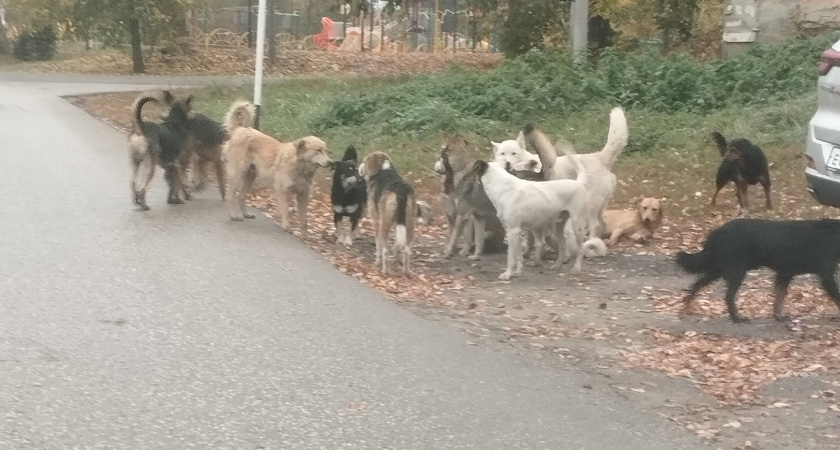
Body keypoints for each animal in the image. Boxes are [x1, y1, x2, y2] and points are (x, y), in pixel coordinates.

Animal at [223, 100, 334, 237]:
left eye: (326, 151)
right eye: (318, 150)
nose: (331, 162)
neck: (300, 167)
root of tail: (240, 129)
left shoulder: (303, 195)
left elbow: (304, 220)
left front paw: (305, 235)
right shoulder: (282, 191)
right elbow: (285, 210)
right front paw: (286, 226)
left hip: (251, 176)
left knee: (241, 196)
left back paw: (245, 213)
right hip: (238, 174)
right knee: (230, 196)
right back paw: (233, 215)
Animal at [676, 219, 840, 322]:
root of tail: (717, 232)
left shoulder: (785, 274)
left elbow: (779, 297)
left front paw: (778, 316)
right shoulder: (826, 276)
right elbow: (837, 296)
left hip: (718, 269)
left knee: (697, 284)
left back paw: (686, 306)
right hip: (736, 272)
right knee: (728, 296)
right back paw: (737, 319)